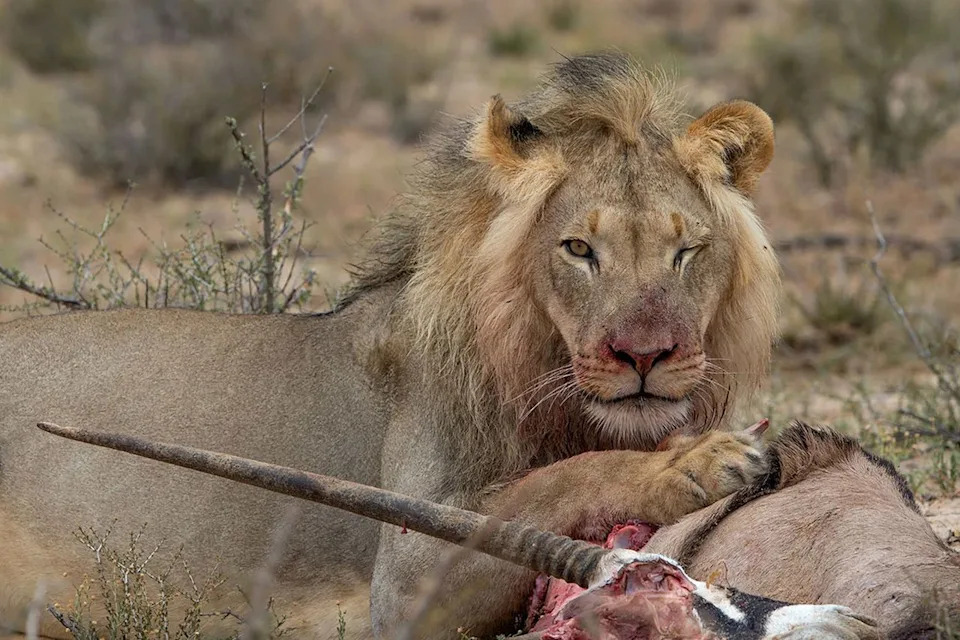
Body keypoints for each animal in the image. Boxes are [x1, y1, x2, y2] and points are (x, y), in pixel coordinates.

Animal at [0, 53, 780, 639]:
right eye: (579, 249)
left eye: (687, 251)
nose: (644, 356)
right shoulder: (403, 584)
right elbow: (551, 484)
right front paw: (697, 461)